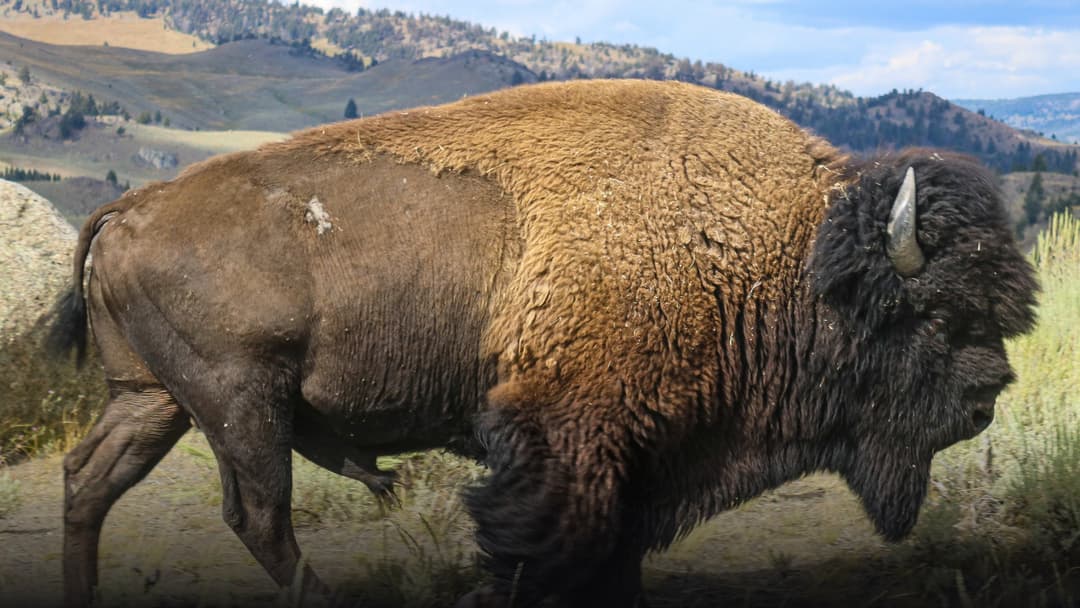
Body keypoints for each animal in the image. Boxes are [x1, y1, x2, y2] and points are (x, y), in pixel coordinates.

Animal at [48, 79, 1038, 607]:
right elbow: (552, 541)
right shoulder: (569, 436)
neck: (777, 250)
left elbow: (619, 549)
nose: (989, 393)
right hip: (240, 402)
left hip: (153, 400)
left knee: (90, 480)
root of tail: (132, 207)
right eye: (932, 315)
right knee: (259, 515)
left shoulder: (642, 451)